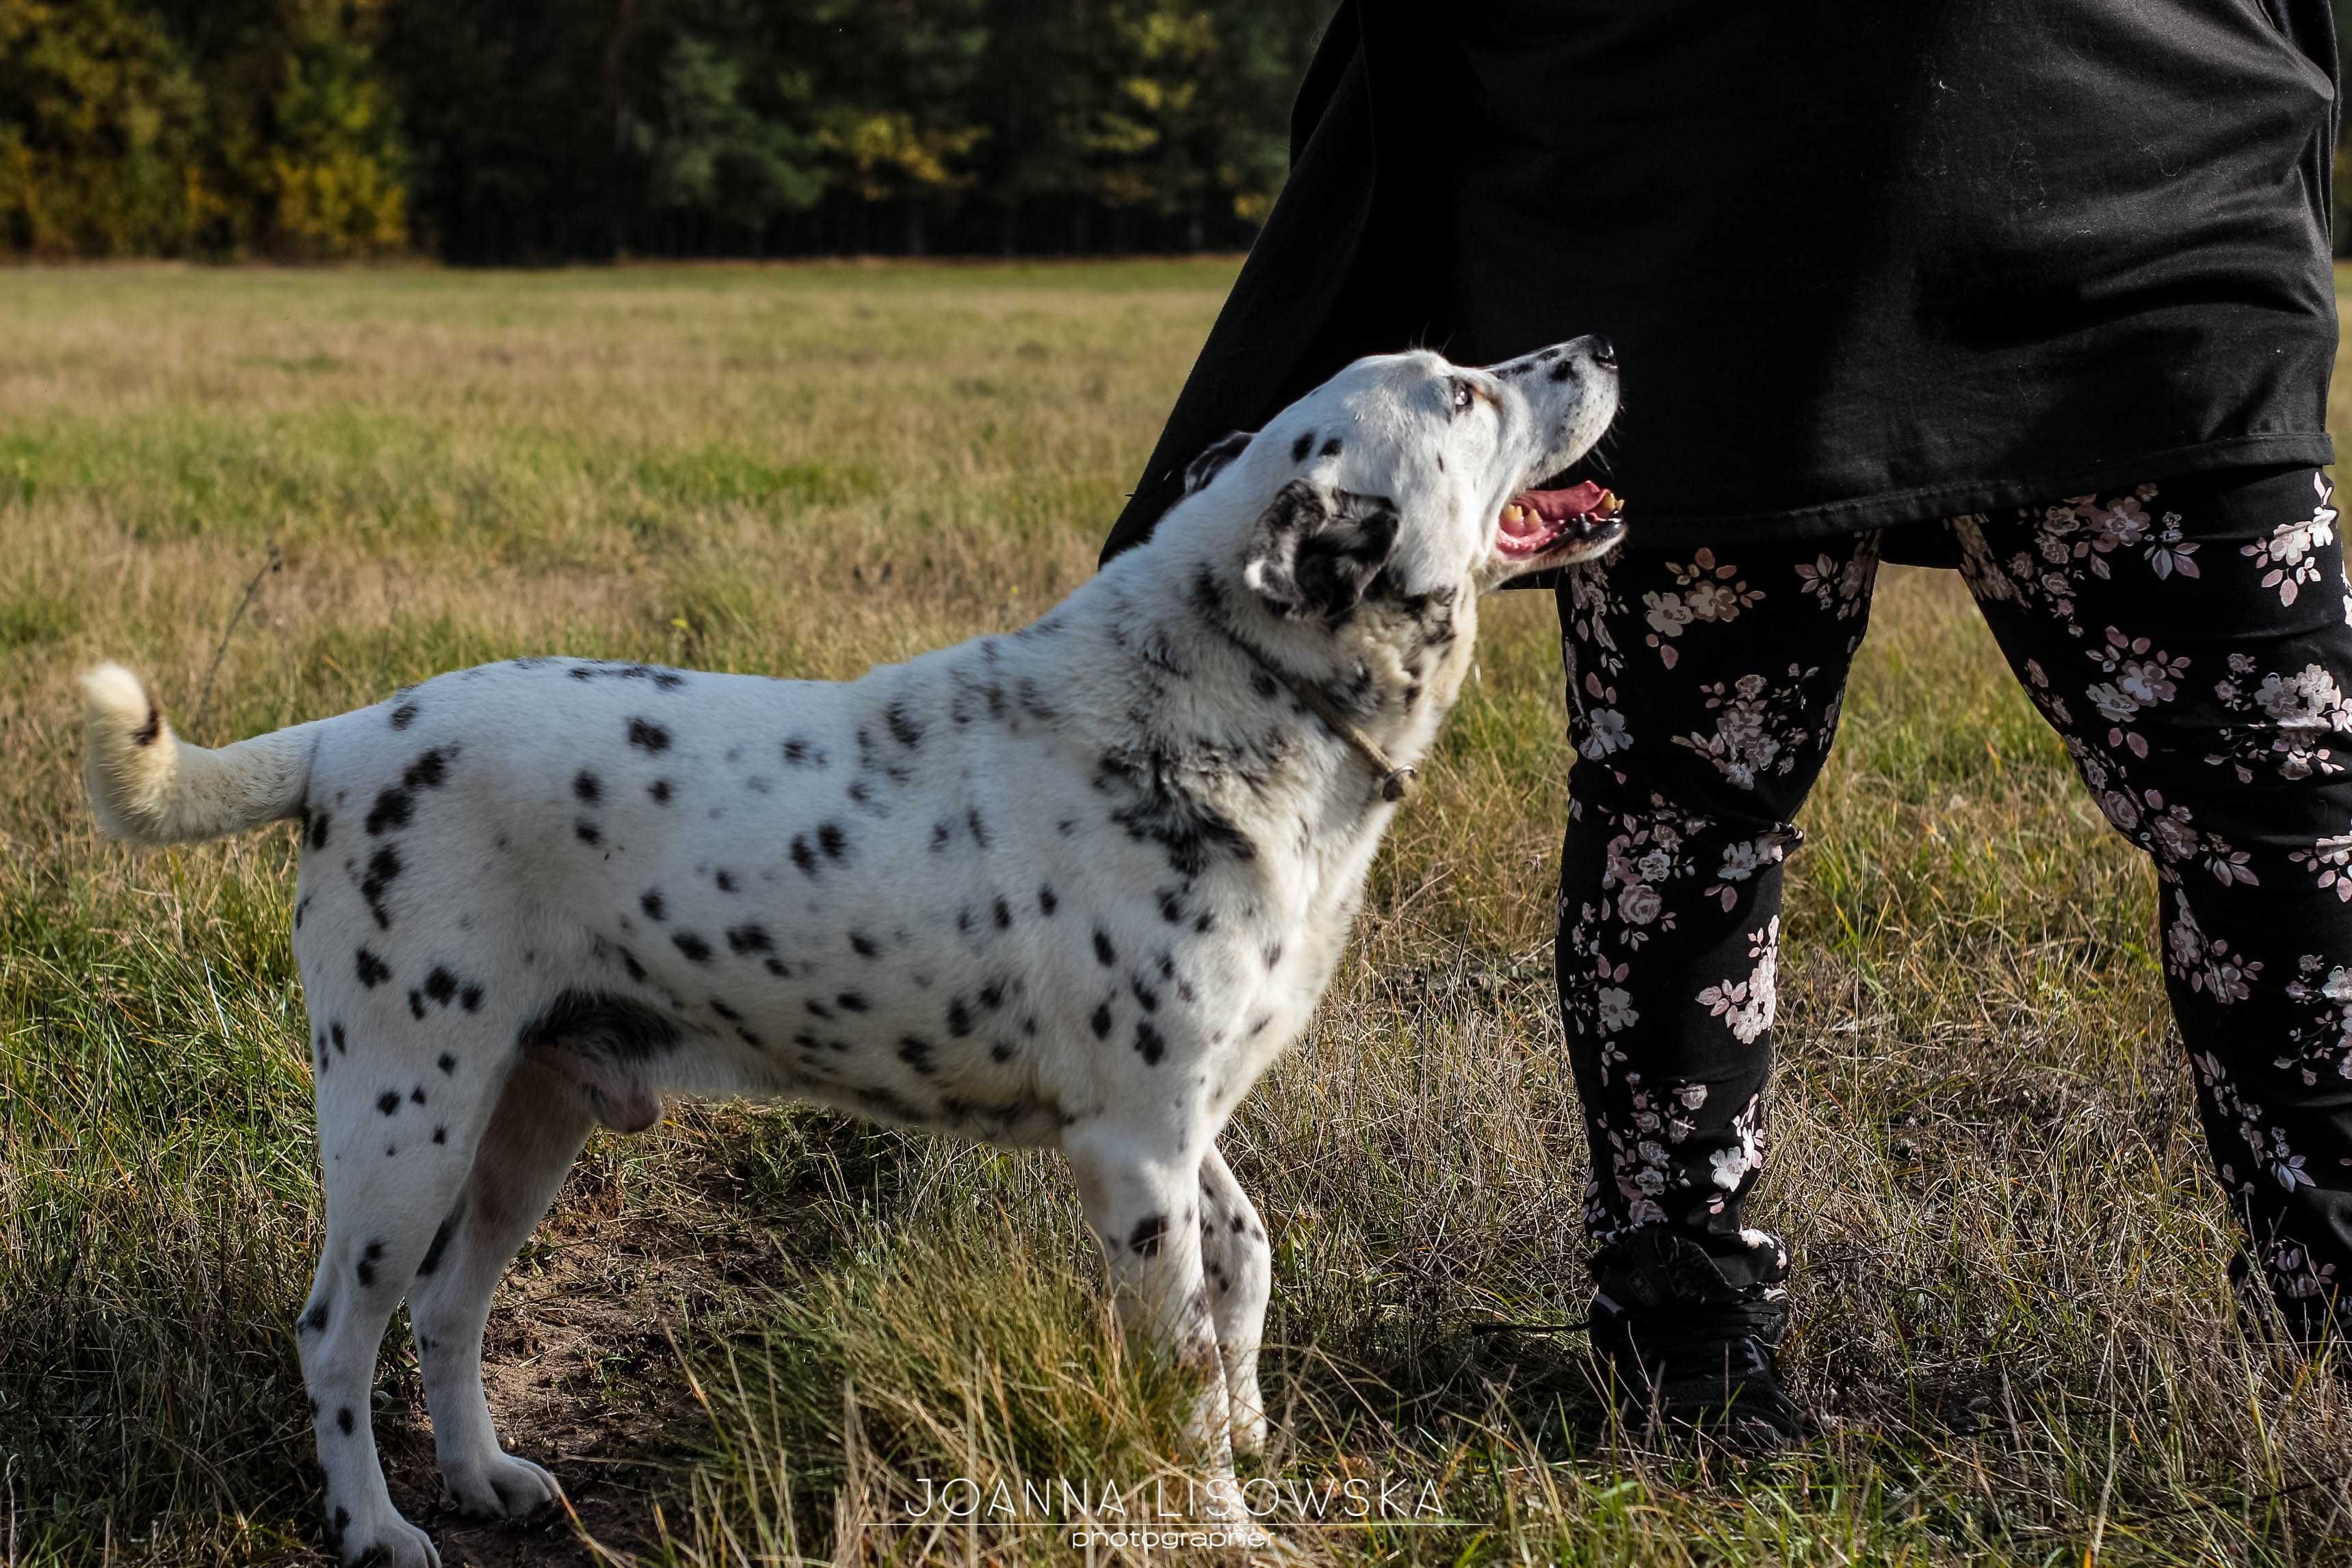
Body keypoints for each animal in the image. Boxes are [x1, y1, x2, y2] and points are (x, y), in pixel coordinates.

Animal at [73, 338, 1618, 1560]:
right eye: (1465, 392)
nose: (1600, 343)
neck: (1237, 703)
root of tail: (344, 739)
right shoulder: (1135, 1148)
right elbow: (1181, 1369)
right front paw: (1224, 1526)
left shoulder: (1189, 1127)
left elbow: (1243, 1274)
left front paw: (1250, 1449)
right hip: (405, 1118)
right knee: (337, 1330)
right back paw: (378, 1528)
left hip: (526, 1118)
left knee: (448, 1310)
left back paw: (480, 1478)